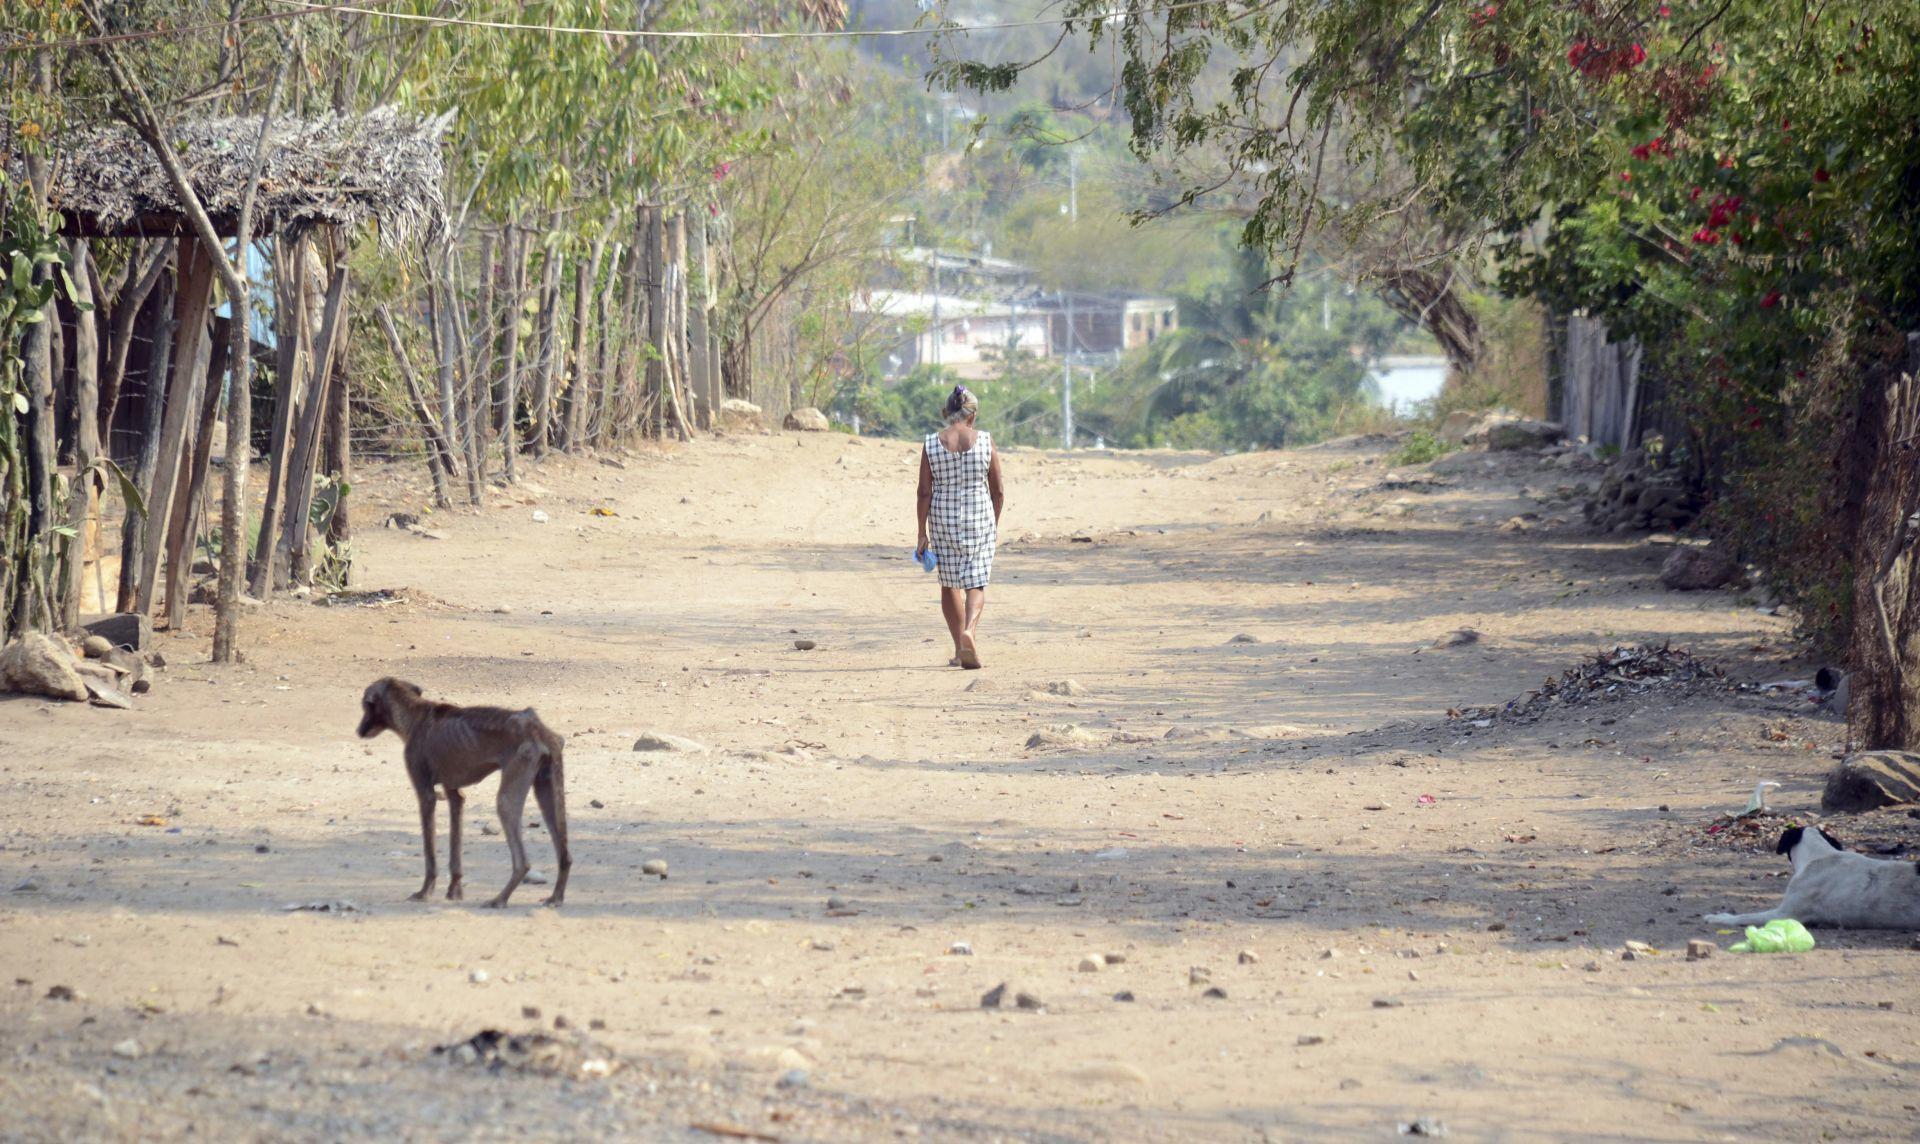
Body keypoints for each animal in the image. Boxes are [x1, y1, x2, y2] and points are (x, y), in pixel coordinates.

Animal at [357, 675, 568, 905]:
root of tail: (538, 730)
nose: (359, 731)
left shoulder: (426, 795)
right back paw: (556, 896)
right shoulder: (455, 795)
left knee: (523, 862)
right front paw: (454, 891)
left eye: (365, 705)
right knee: (565, 856)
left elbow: (429, 852)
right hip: (547, 793)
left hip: (507, 800)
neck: (414, 715)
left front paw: (425, 892)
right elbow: (455, 848)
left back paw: (500, 899)